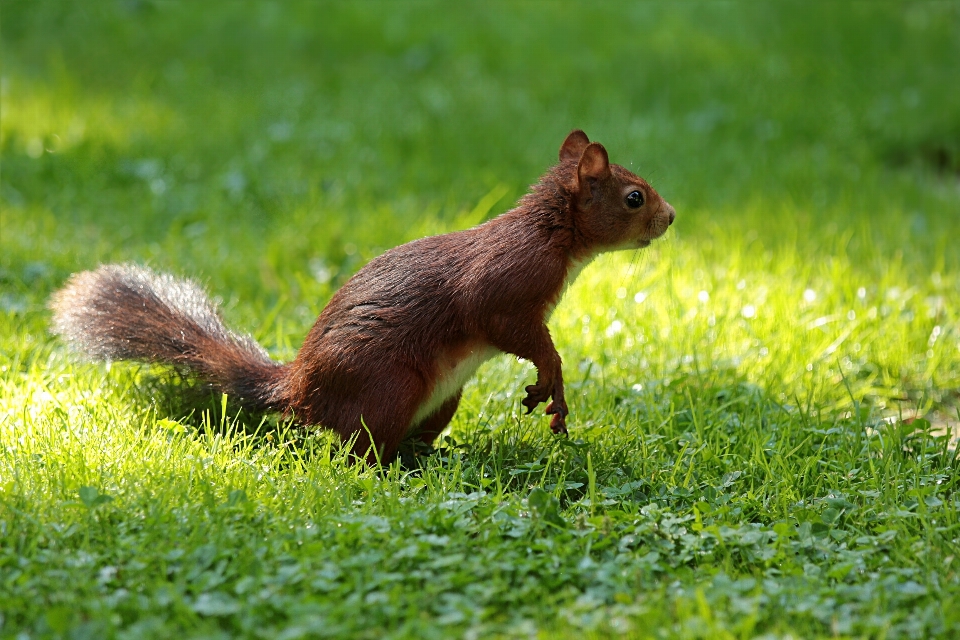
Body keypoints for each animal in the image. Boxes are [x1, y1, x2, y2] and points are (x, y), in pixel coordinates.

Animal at [50, 130, 676, 462]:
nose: (670, 217)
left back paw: (434, 456)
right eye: (634, 197)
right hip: (389, 387)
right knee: (357, 452)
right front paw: (552, 378)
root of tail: (299, 390)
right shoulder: (505, 287)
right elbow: (518, 332)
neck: (552, 235)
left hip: (441, 398)